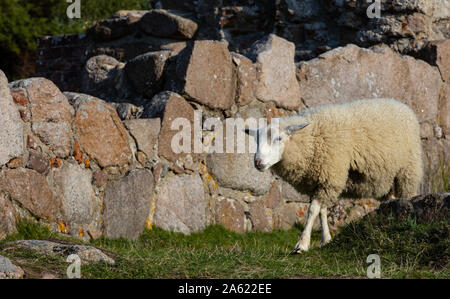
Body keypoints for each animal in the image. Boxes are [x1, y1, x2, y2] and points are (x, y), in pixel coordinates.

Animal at [244, 99, 424, 253]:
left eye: (279, 138)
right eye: (257, 141)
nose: (258, 162)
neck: (311, 138)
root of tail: (402, 105)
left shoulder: (330, 177)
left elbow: (312, 210)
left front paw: (302, 244)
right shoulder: (320, 182)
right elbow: (322, 211)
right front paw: (326, 240)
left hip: (408, 171)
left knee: (407, 196)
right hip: (386, 180)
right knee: (390, 200)